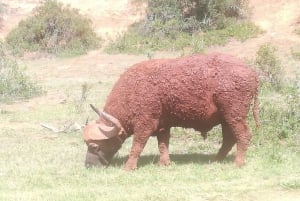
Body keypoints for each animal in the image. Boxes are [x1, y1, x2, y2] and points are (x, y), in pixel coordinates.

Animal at [83, 53, 258, 170]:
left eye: (95, 146)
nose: (88, 165)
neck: (133, 90)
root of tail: (252, 73)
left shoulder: (144, 125)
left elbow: (137, 145)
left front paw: (128, 167)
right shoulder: (163, 126)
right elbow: (163, 144)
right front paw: (164, 163)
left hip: (234, 116)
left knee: (243, 136)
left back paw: (238, 163)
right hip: (226, 119)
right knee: (229, 139)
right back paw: (216, 160)